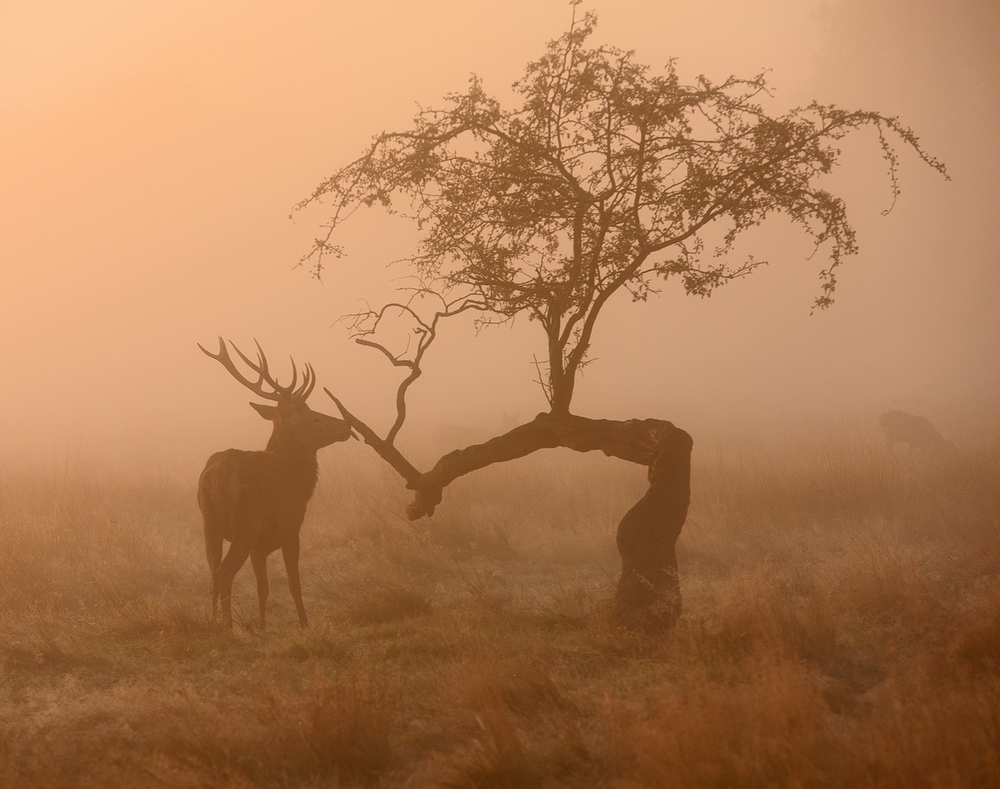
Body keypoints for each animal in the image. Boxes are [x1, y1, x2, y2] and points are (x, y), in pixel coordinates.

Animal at [196, 338, 356, 628]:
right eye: (315, 417)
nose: (346, 424)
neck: (298, 478)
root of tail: (215, 477)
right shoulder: (290, 527)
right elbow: (294, 584)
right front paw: (304, 624)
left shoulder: (259, 547)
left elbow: (264, 588)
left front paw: (261, 626)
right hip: (245, 525)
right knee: (224, 573)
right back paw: (228, 626)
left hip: (209, 523)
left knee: (212, 574)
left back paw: (214, 622)